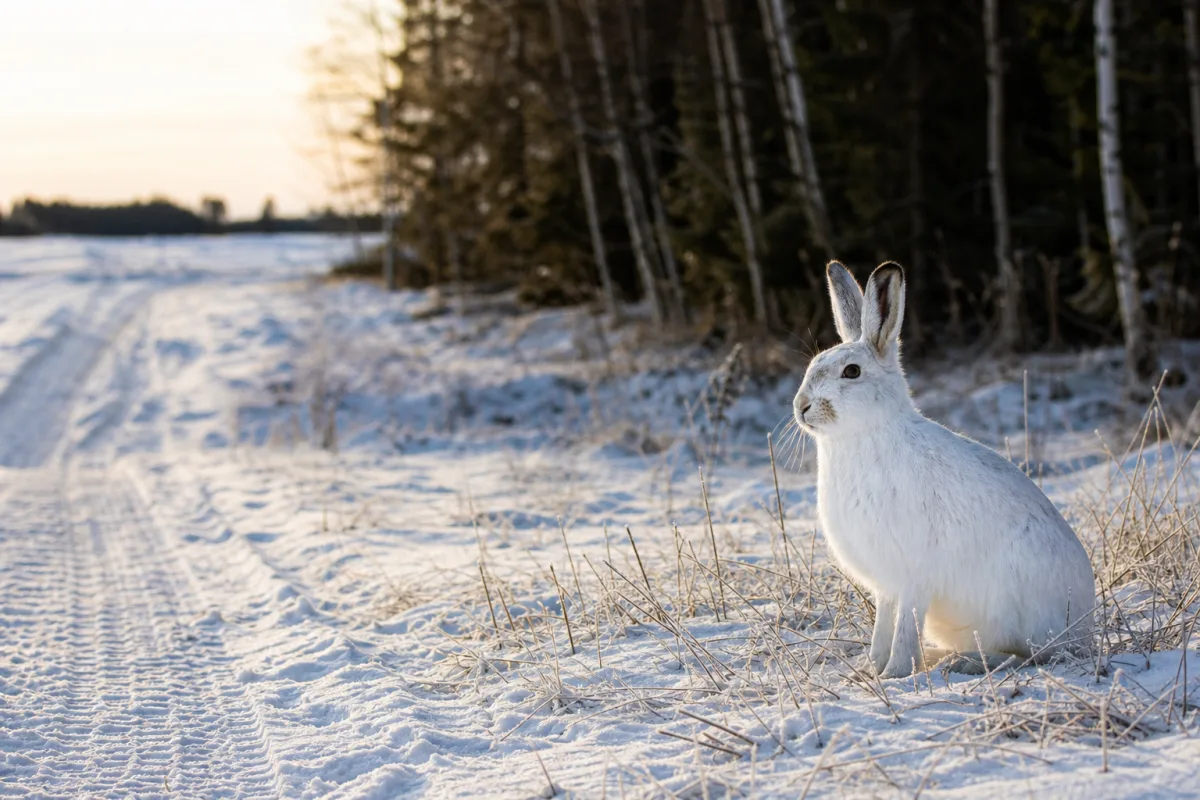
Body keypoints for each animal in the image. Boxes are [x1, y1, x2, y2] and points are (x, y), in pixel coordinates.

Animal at [793, 261, 1096, 678]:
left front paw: (894, 674)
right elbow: (883, 628)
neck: (868, 433)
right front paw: (871, 669)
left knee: (1030, 656)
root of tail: (1085, 630)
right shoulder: (886, 587)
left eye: (851, 372)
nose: (801, 406)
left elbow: (904, 630)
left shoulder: (914, 577)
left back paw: (961, 662)